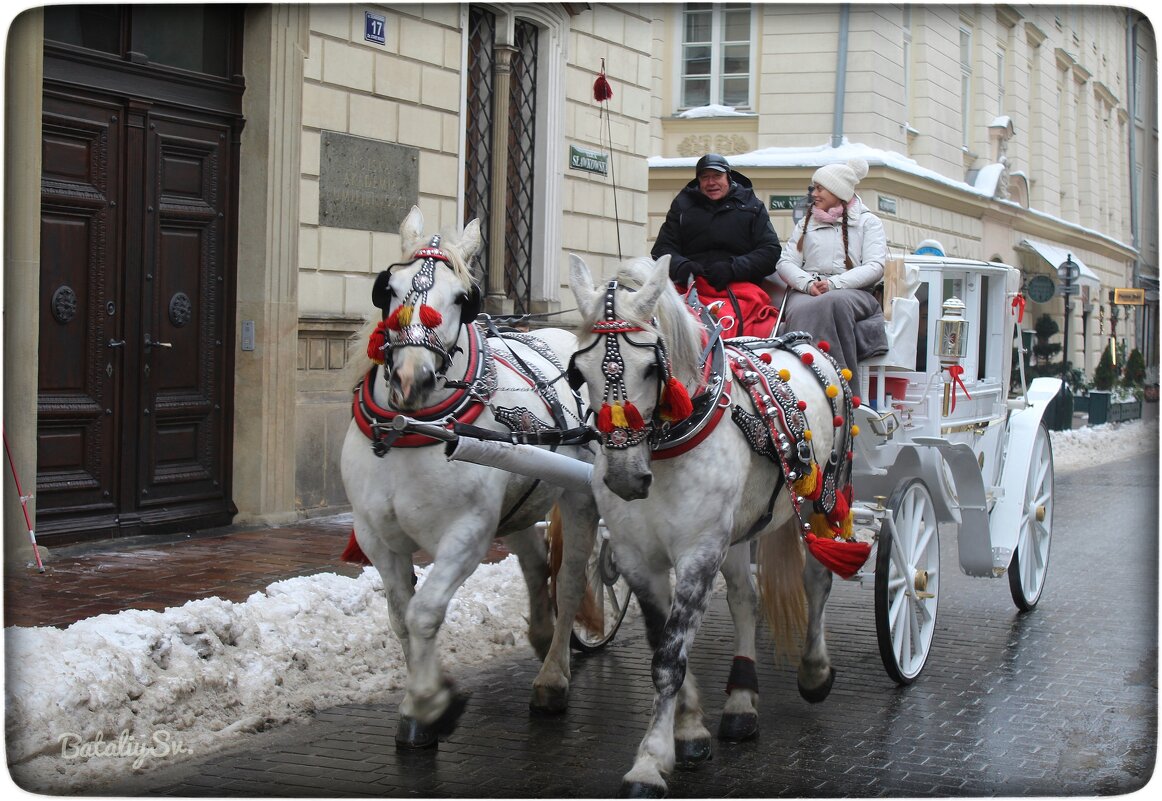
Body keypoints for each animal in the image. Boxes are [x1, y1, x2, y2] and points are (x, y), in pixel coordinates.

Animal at [339, 205, 599, 748]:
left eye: (464, 297)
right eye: (388, 288)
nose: (412, 379)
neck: (412, 427)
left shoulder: (467, 533)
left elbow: (424, 611)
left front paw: (428, 704)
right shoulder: (376, 536)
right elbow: (401, 616)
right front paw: (424, 700)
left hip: (580, 495)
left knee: (568, 580)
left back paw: (553, 677)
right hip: (519, 498)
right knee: (535, 561)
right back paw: (542, 634)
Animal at [562, 254, 864, 795]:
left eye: (650, 367)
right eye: (580, 370)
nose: (623, 477)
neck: (663, 450)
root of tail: (809, 344)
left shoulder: (699, 551)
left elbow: (670, 657)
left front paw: (649, 761)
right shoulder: (639, 558)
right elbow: (663, 643)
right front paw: (688, 731)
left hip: (825, 497)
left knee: (818, 577)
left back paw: (814, 670)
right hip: (740, 529)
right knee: (746, 598)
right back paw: (742, 701)